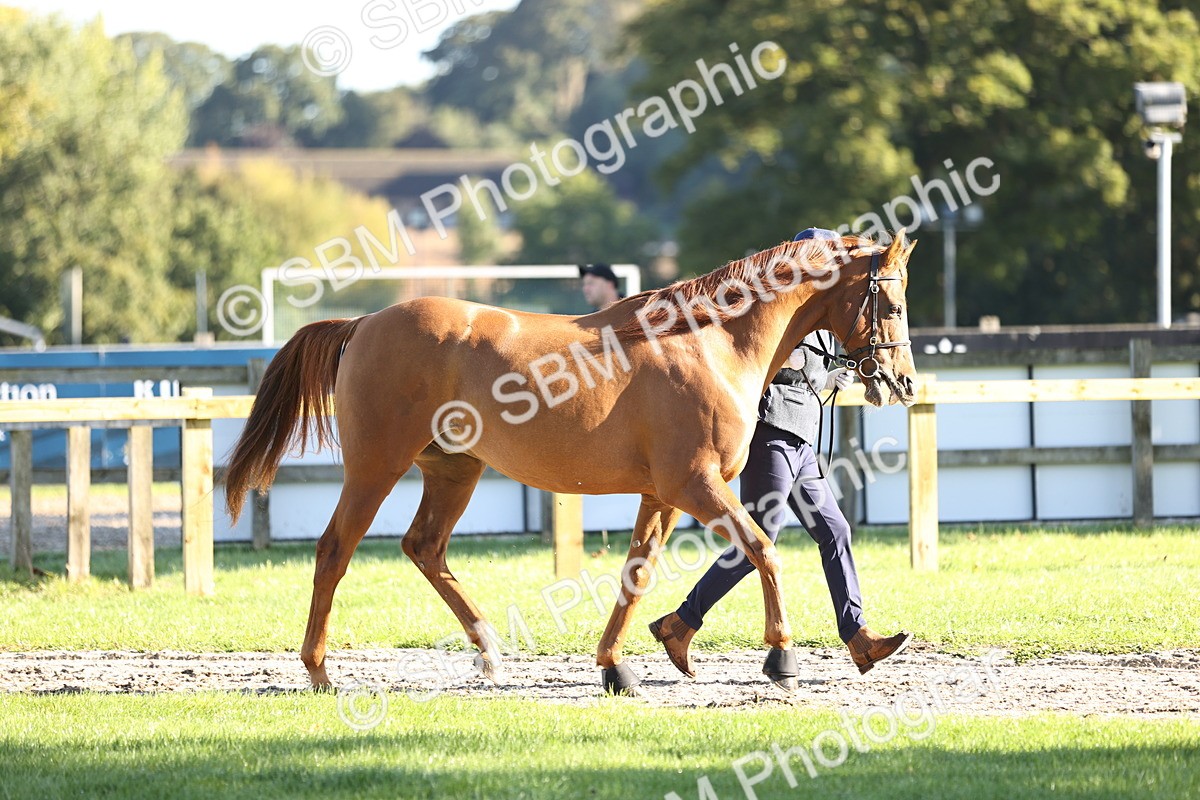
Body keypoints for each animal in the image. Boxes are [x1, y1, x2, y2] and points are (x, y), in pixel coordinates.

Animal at [223, 230, 919, 695]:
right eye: (889, 303)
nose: (903, 382)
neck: (707, 341)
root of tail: (365, 322)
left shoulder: (662, 495)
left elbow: (637, 574)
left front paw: (620, 665)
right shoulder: (694, 485)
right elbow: (763, 550)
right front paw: (781, 657)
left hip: (453, 470)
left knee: (425, 548)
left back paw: (490, 652)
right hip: (375, 467)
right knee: (334, 551)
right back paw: (320, 671)